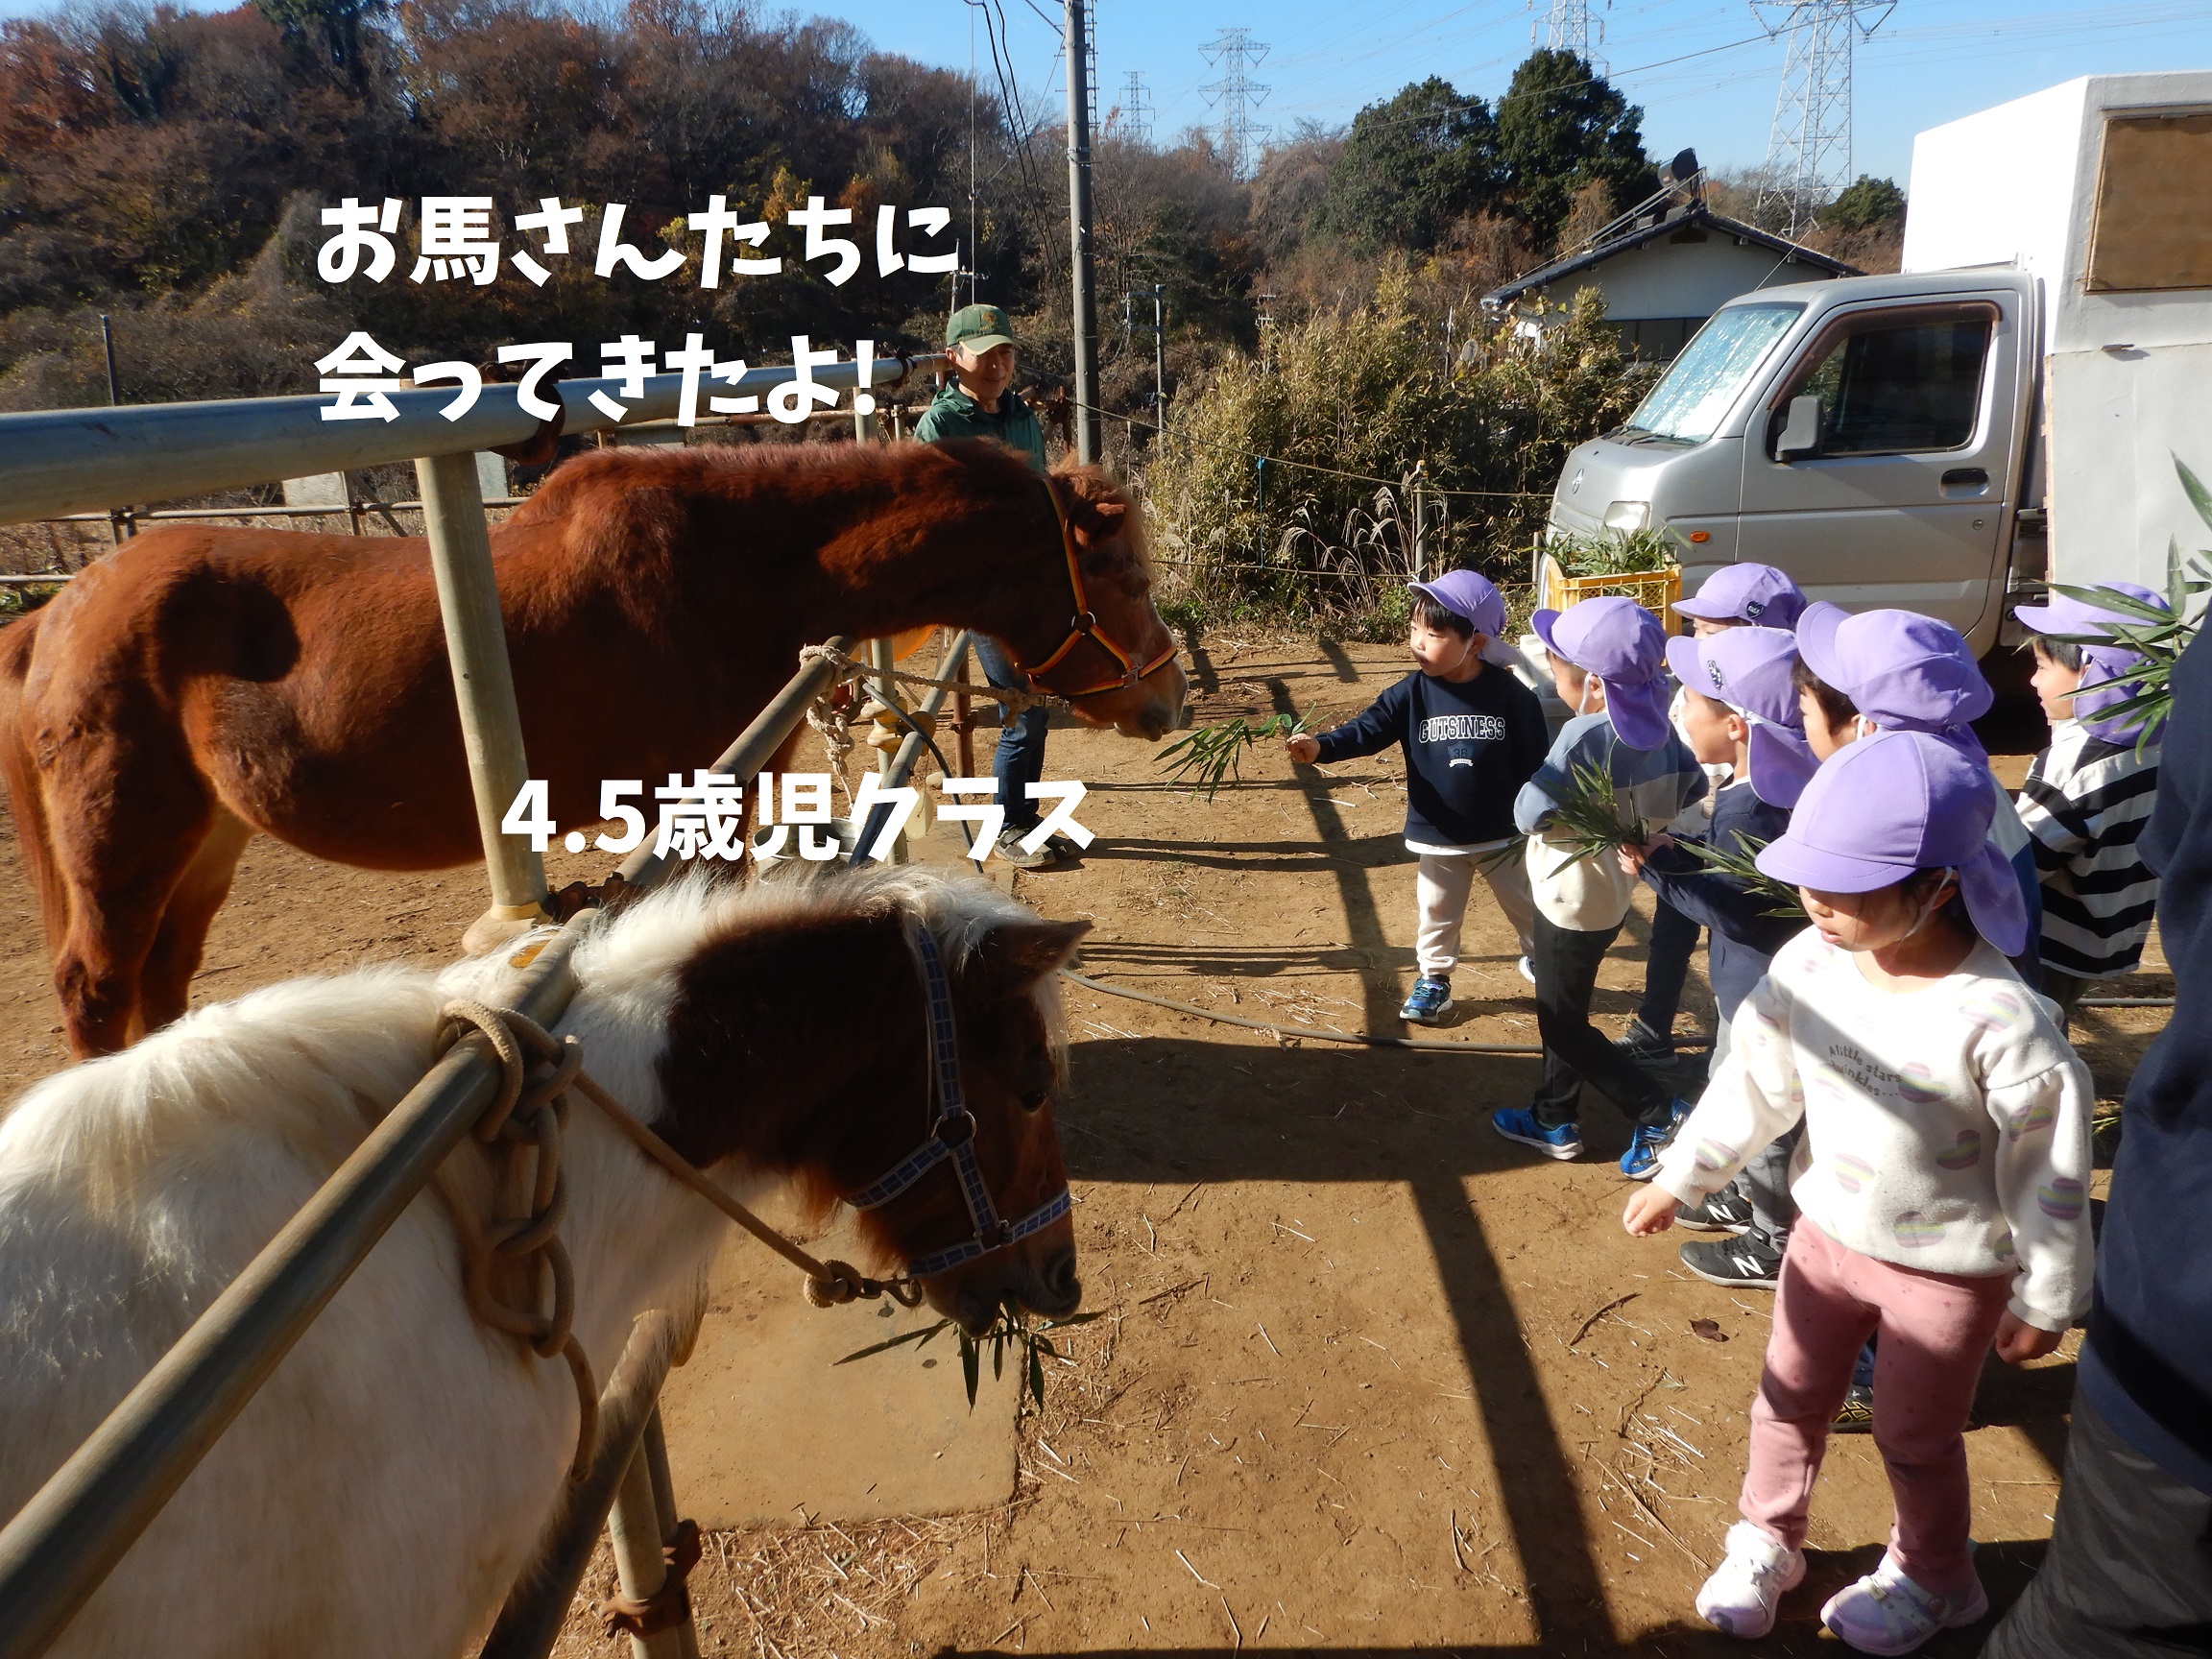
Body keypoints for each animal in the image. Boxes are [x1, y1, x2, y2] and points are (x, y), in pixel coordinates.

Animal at [0, 438, 1183, 1057]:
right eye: (1124, 574)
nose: (1169, 695)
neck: (732, 572)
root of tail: (55, 612)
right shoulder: (697, 807)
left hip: (205, 845)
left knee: (161, 979)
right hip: (123, 848)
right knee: (98, 987)